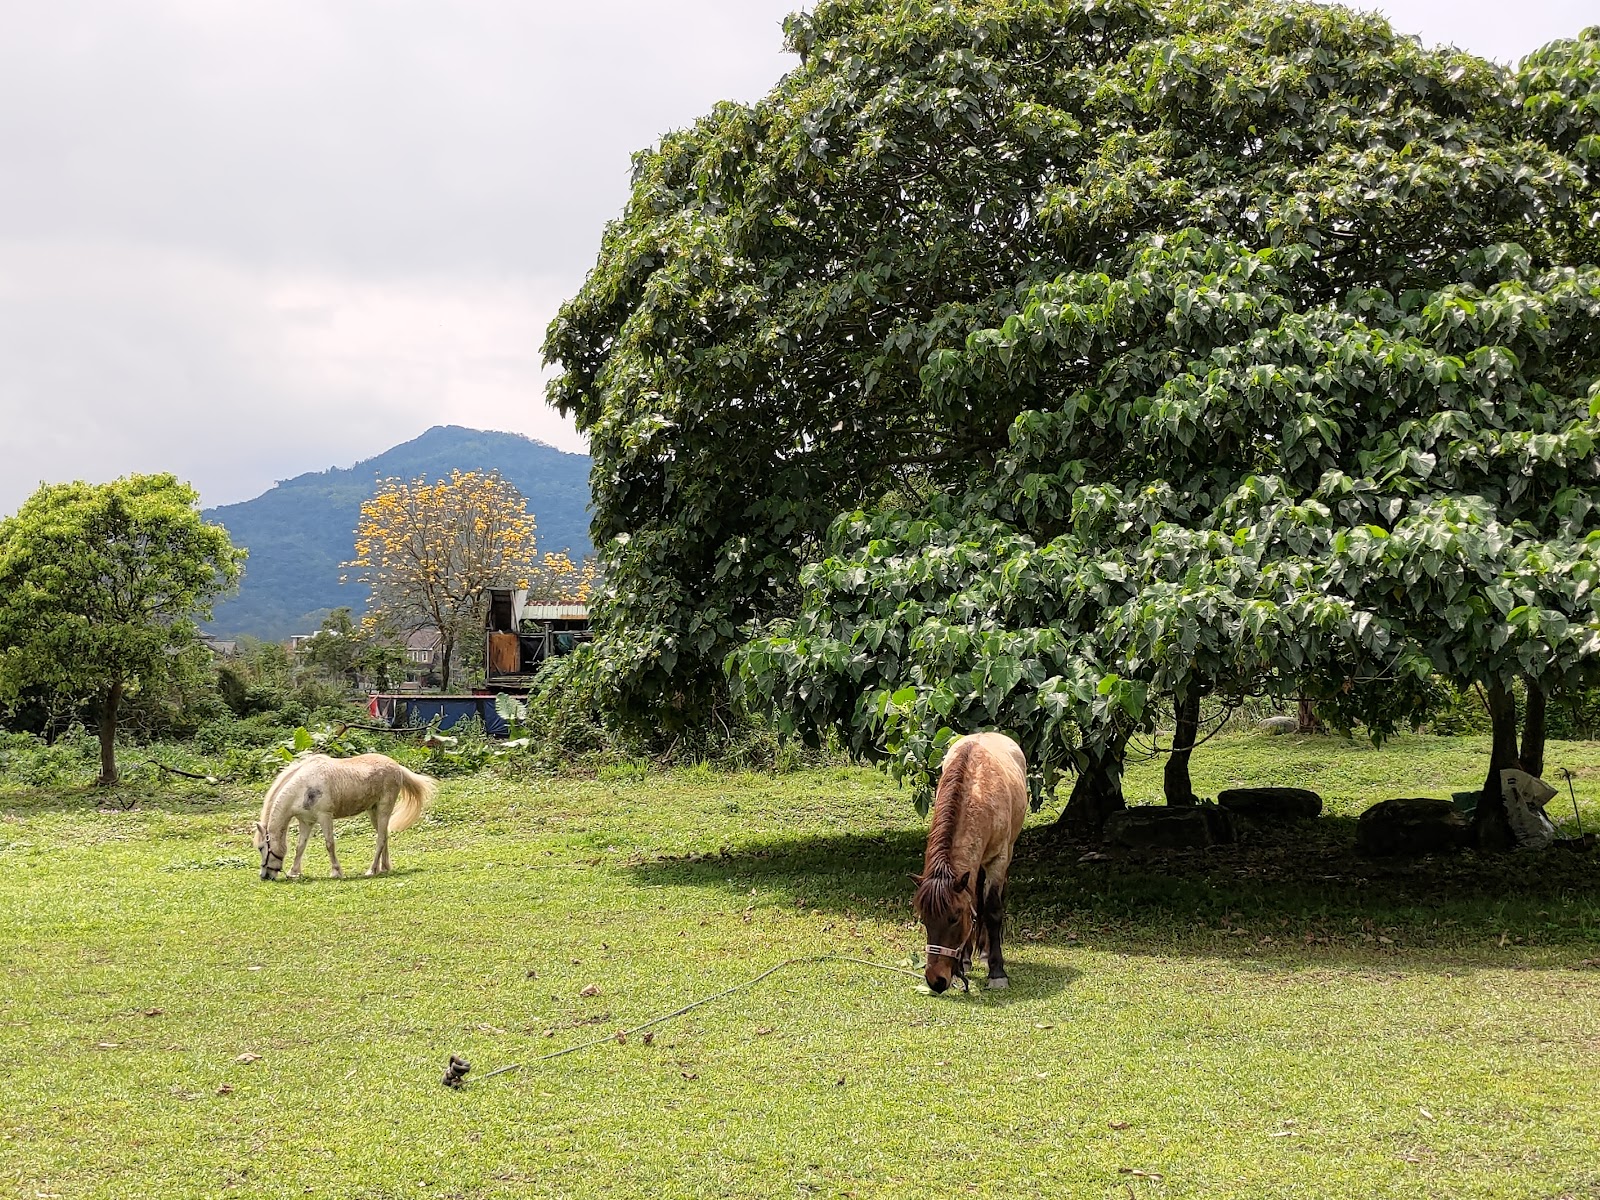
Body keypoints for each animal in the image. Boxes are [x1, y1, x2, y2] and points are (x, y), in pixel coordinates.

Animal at [253, 753, 437, 881]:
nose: (264, 876)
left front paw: (336, 872)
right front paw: (294, 872)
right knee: (384, 836)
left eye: (261, 847)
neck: (303, 787)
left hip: (384, 809)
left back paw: (371, 870)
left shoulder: (325, 817)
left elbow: (329, 844)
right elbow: (300, 847)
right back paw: (383, 868)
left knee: (380, 840)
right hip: (374, 811)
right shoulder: (306, 822)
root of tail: (396, 766)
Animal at [912, 732, 1028, 994]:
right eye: (924, 919)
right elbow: (974, 904)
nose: (936, 980)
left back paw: (985, 954)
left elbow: (993, 910)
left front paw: (997, 972)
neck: (977, 791)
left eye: (954, 917)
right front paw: (964, 961)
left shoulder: (998, 860)